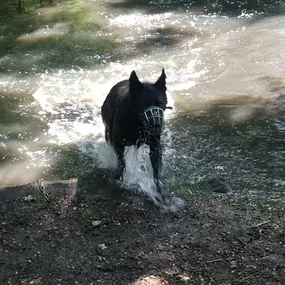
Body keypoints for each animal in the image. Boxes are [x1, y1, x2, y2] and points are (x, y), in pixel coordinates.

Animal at [101, 69, 170, 202]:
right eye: (145, 104)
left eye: (160, 103)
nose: (157, 124)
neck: (136, 123)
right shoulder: (118, 144)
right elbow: (122, 162)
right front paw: (120, 179)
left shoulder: (155, 147)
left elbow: (156, 171)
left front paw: (159, 190)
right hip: (109, 134)